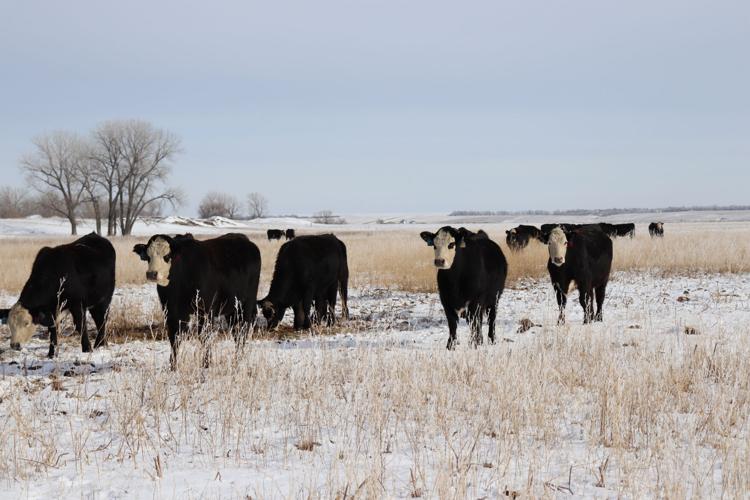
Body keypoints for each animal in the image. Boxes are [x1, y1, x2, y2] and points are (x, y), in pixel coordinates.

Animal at [133, 233, 261, 368]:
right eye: (148, 257)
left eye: (167, 256)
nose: (152, 273)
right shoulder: (172, 312)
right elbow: (174, 337)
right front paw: (173, 366)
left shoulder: (206, 311)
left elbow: (204, 336)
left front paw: (206, 364)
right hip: (232, 310)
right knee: (236, 333)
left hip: (246, 305)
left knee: (242, 331)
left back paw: (239, 360)